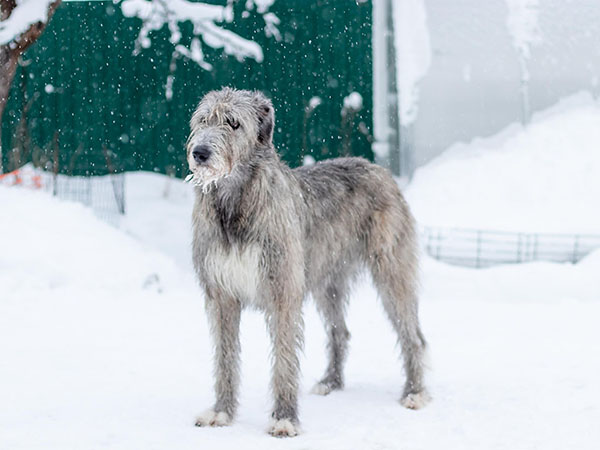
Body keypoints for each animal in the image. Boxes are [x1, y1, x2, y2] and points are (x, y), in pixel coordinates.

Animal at [188, 87, 426, 436]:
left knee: (413, 336)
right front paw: (221, 412)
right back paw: (331, 382)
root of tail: (379, 168)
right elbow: (225, 357)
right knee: (340, 332)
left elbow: (284, 360)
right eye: (203, 121)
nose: (200, 153)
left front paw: (285, 418)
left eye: (233, 123)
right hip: (328, 281)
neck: (236, 203)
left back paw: (415, 392)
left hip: (392, 271)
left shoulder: (283, 291)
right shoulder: (221, 296)